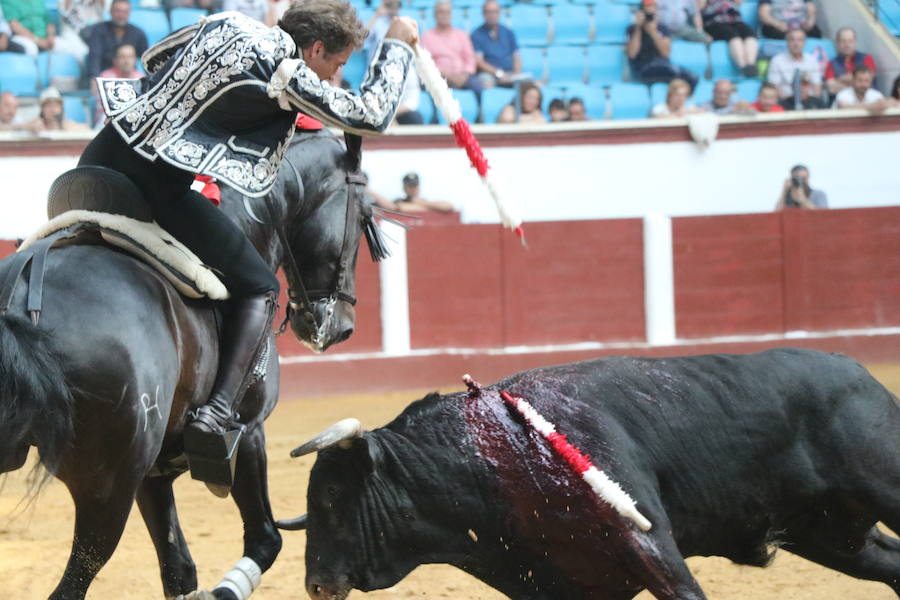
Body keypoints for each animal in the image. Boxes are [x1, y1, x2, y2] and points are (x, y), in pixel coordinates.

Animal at [0, 129, 376, 596]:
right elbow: (265, 539)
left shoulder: (153, 475)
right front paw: (223, 590)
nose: (339, 327)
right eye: (364, 215)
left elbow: (178, 568)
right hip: (106, 488)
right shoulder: (248, 432)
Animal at [290, 350, 900, 596]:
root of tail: (859, 374)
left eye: (332, 495)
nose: (315, 585)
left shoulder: (649, 543)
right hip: (829, 533)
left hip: (882, 485)